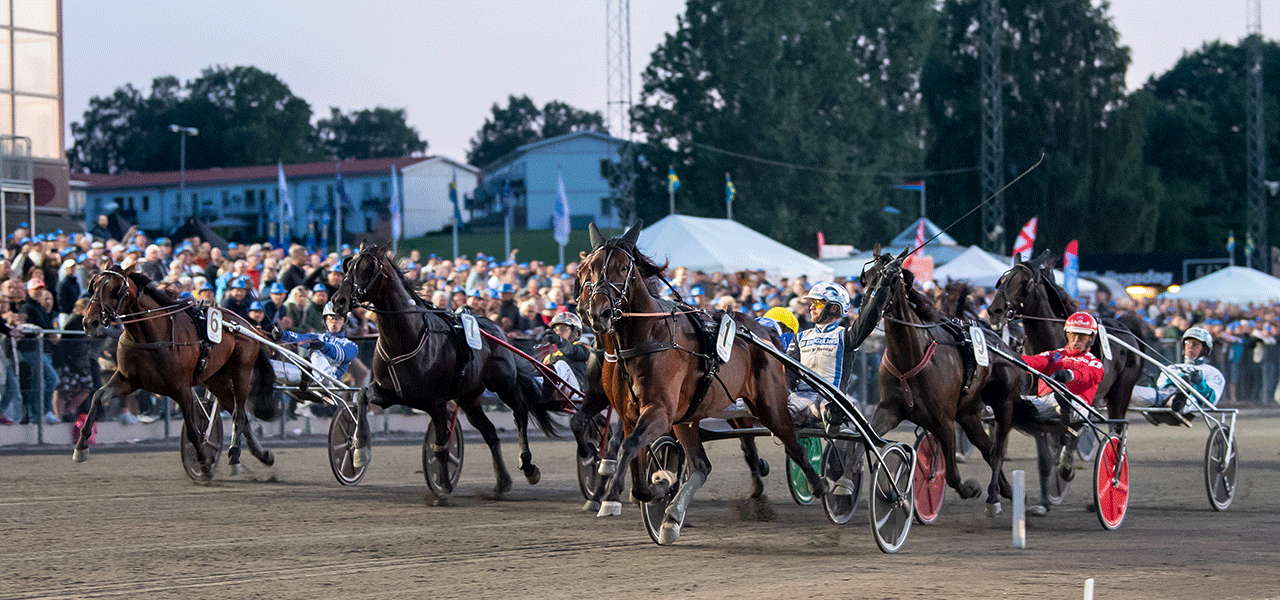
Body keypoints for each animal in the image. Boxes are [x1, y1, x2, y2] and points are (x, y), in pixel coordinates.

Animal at [77, 266, 277, 481]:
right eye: (95, 285)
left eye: (116, 289)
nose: (90, 323)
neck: (152, 336)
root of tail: (247, 326)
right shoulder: (127, 380)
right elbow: (98, 396)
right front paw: (81, 447)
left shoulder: (181, 388)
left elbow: (191, 426)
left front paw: (204, 462)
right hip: (217, 380)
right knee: (240, 416)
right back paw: (262, 454)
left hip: (241, 372)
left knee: (239, 415)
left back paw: (234, 456)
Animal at [576, 222, 824, 544]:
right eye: (584, 270)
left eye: (622, 267)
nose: (597, 312)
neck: (644, 340)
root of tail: (761, 331)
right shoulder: (629, 414)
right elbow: (629, 459)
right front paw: (651, 487)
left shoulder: (659, 412)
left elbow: (628, 447)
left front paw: (625, 490)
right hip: (689, 418)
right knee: (703, 465)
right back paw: (672, 517)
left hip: (769, 404)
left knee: (793, 443)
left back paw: (820, 486)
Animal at [849, 250, 1059, 511]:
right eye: (866, 277)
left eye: (892, 277)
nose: (867, 308)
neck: (911, 355)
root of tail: (1004, 347)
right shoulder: (889, 410)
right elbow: (863, 442)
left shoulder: (944, 420)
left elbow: (951, 475)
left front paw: (970, 488)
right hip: (968, 413)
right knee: (988, 449)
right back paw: (1007, 490)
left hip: (1003, 404)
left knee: (997, 449)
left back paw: (993, 495)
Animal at [983, 250, 1146, 506]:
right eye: (1002, 280)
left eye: (1024, 282)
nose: (994, 311)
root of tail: (1125, 325)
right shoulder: (1035, 404)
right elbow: (1045, 449)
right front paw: (1044, 499)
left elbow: (1071, 434)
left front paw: (1065, 471)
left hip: (1120, 393)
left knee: (1114, 429)